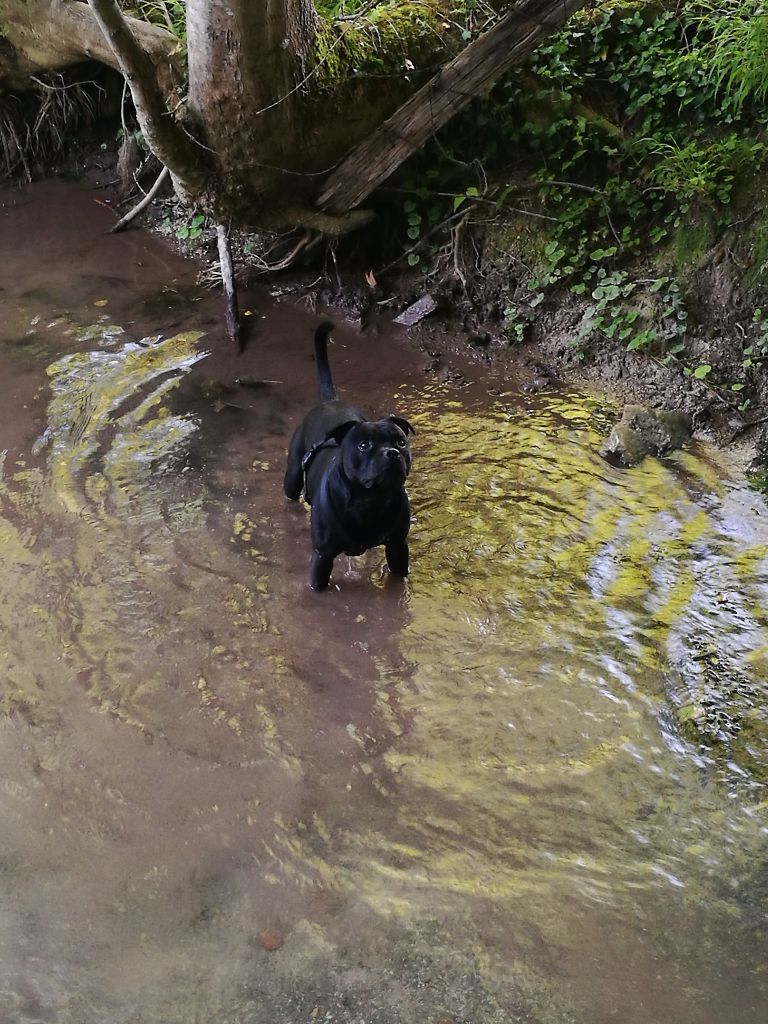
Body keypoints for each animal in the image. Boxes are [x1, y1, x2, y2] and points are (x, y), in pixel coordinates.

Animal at [284, 319, 415, 593]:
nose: (392, 453)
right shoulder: (322, 557)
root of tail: (330, 401)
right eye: (364, 445)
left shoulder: (398, 547)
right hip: (292, 475)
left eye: (401, 442)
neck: (370, 501)